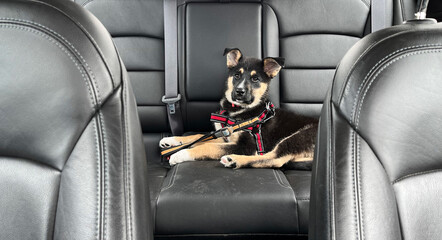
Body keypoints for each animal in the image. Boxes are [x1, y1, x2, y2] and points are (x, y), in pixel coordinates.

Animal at [159, 48, 318, 169]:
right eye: (236, 75)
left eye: (255, 79)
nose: (239, 91)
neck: (236, 110)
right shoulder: (224, 136)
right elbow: (199, 137)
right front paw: (172, 140)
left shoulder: (246, 146)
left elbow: (207, 146)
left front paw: (180, 154)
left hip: (298, 137)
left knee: (275, 159)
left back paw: (233, 160)